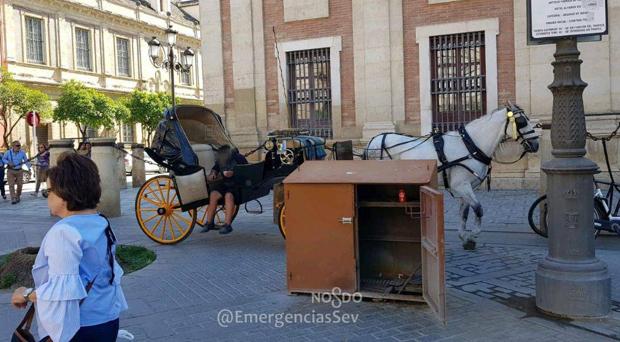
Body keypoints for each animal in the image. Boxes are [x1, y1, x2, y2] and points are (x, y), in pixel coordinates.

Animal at [366, 105, 540, 250]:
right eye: (522, 121)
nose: (536, 144)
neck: (470, 146)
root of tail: (373, 142)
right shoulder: (461, 186)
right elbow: (479, 209)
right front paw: (473, 234)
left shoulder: (467, 187)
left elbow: (465, 213)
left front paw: (464, 237)